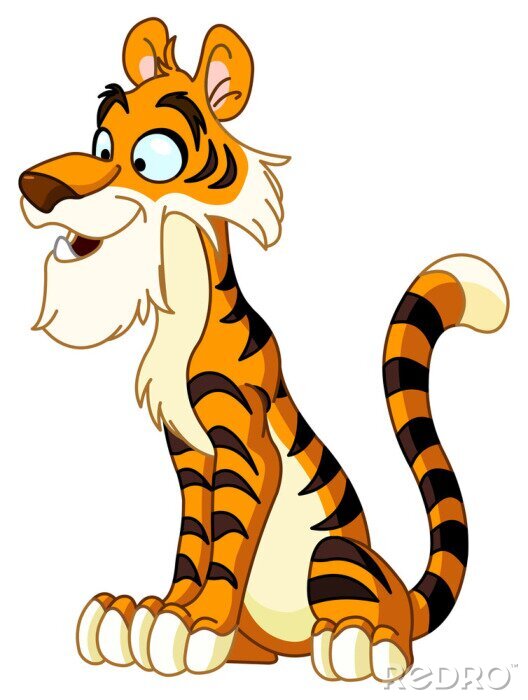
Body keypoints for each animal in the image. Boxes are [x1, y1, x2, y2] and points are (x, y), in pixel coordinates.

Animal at [19, 18, 509, 683]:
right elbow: (192, 542)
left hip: (334, 555)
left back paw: (359, 642)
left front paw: (197, 624)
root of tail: (400, 592)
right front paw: (160, 615)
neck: (181, 317)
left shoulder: (245, 447)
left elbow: (225, 542)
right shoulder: (188, 451)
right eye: (99, 143)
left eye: (153, 157)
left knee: (383, 626)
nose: (34, 186)